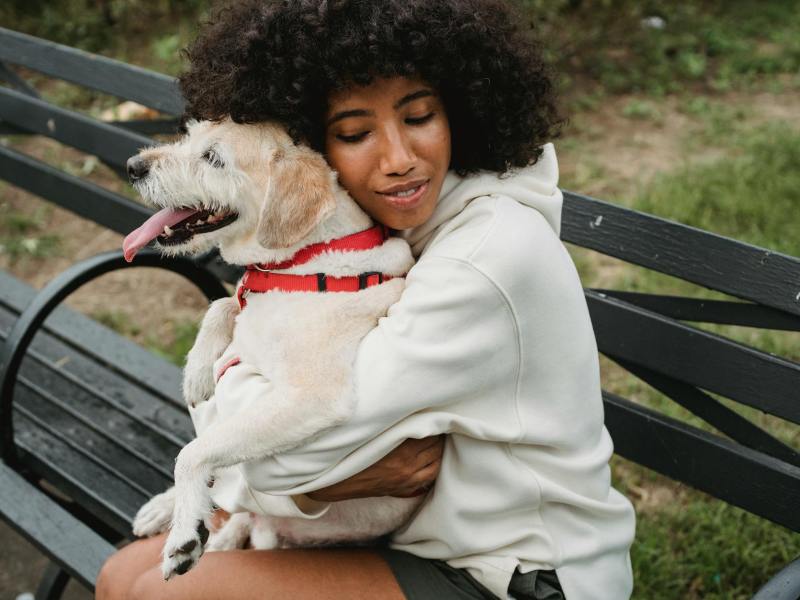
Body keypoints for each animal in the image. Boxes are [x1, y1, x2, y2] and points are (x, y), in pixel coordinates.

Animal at [122, 118, 418, 580]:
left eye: (213, 157)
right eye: (189, 134)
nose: (133, 167)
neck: (305, 262)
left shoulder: (310, 398)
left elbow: (193, 453)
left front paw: (184, 536)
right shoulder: (246, 301)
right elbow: (223, 303)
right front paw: (197, 373)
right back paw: (163, 510)